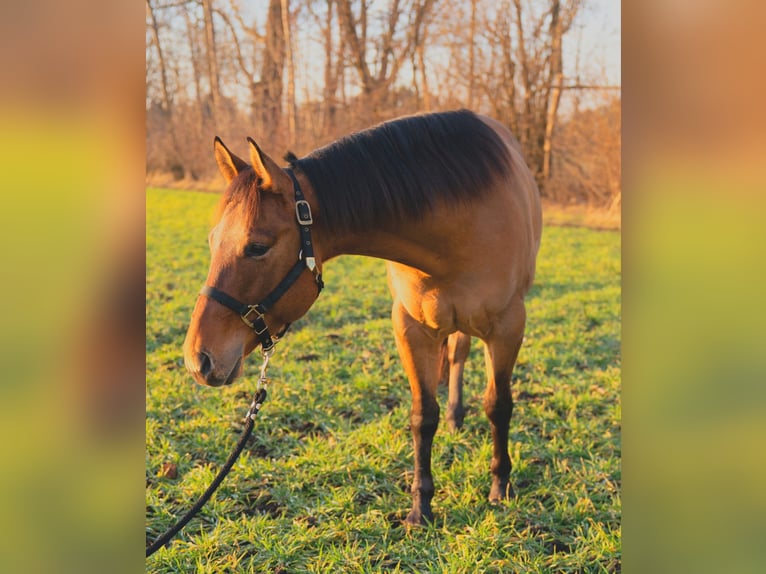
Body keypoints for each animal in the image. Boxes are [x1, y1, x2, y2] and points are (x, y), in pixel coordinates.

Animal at [183, 109, 544, 528]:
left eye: (257, 247)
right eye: (212, 241)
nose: (198, 359)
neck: (459, 228)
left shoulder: (507, 328)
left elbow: (498, 406)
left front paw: (500, 485)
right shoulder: (411, 330)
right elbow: (423, 416)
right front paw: (421, 507)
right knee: (457, 354)